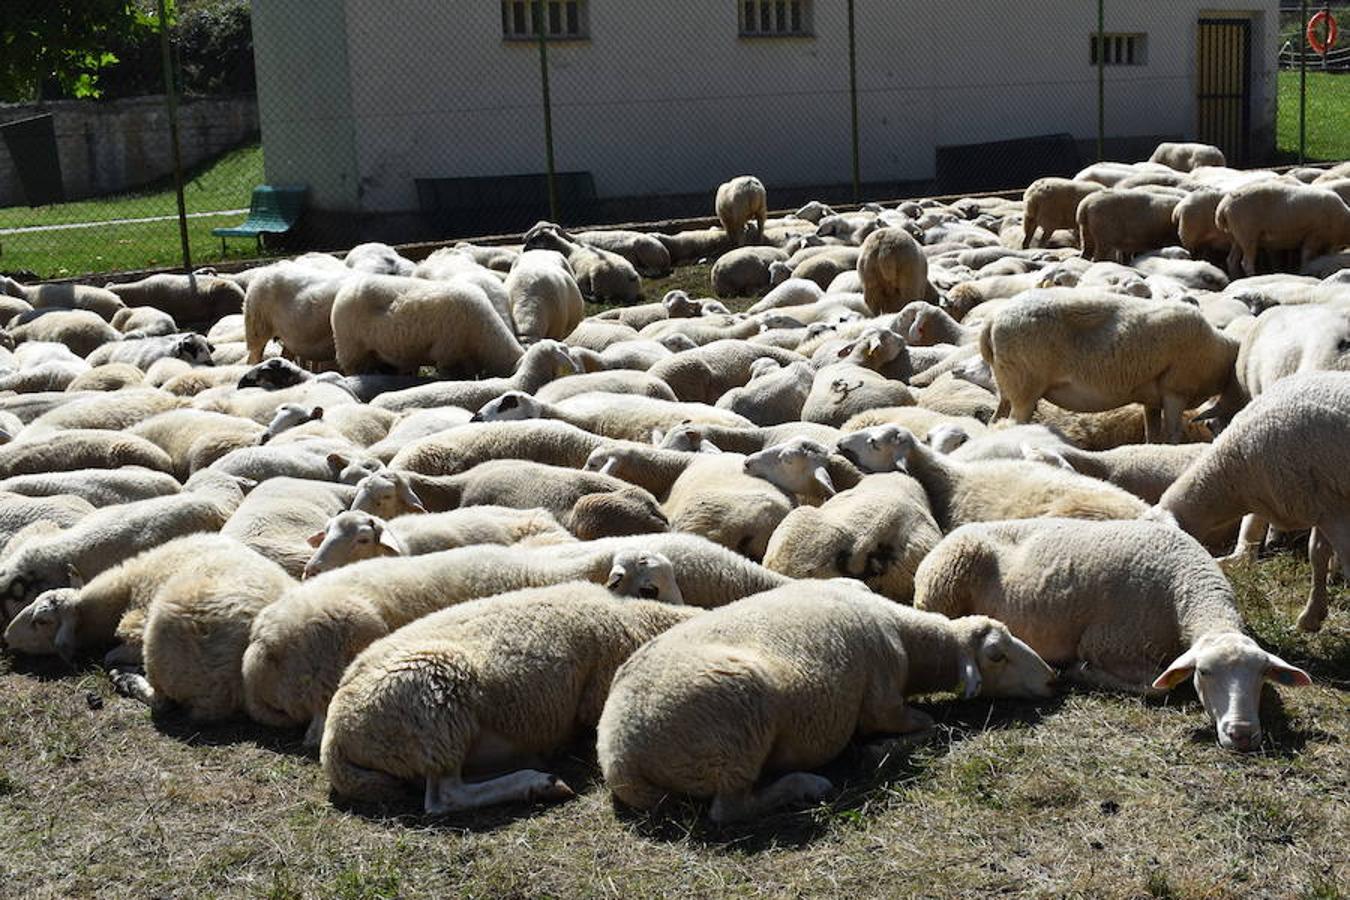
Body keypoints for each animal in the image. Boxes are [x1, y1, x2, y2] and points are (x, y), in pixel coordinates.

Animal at [918, 518, 1306, 750]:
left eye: (1262, 676)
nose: (1242, 734)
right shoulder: (1108, 643)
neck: (1182, 586)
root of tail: (950, 535)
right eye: (1204, 673)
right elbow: (1157, 687)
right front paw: (1080, 671)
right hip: (941, 589)